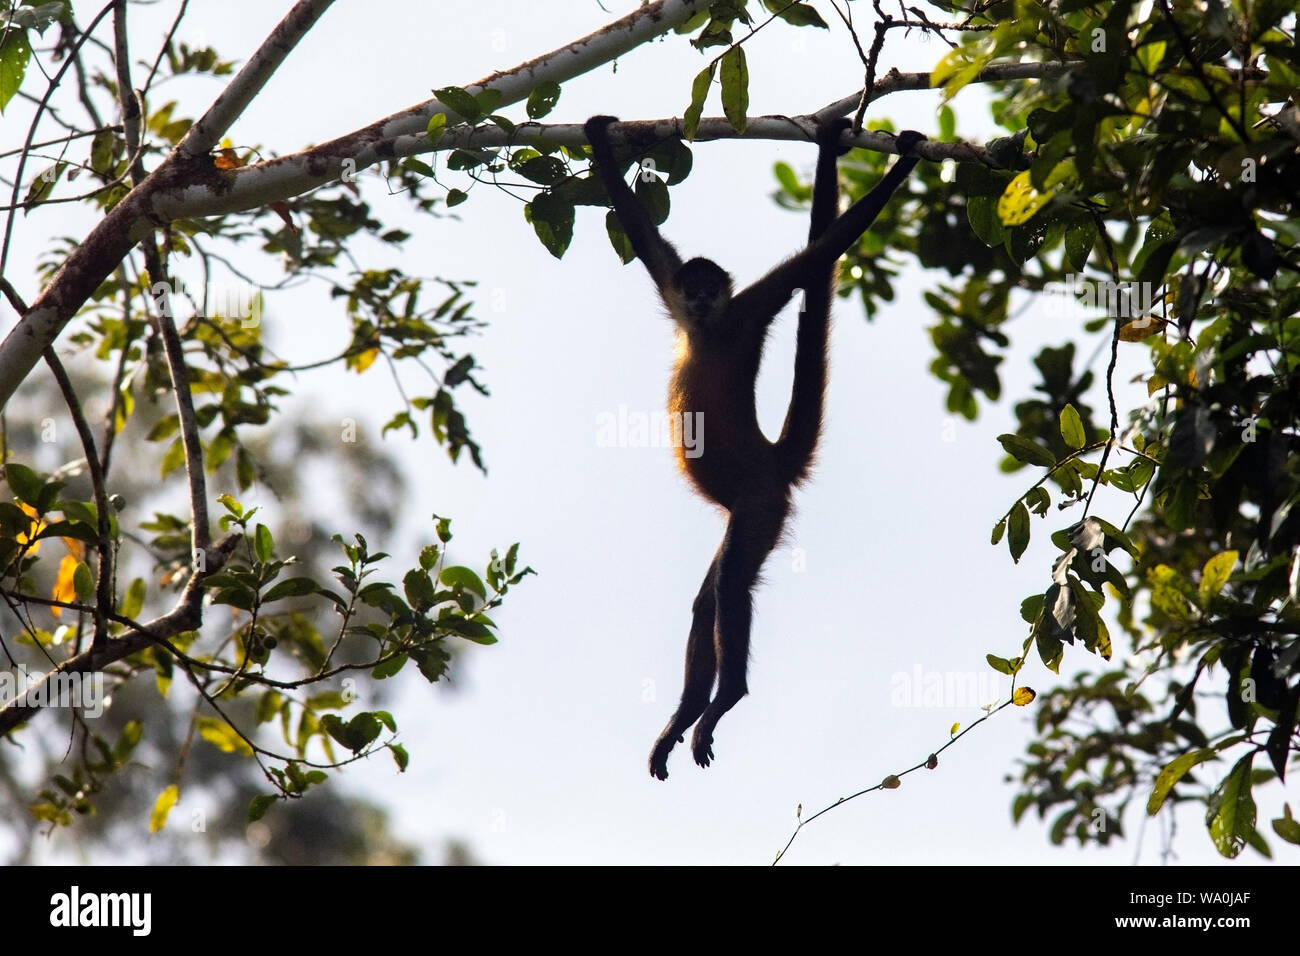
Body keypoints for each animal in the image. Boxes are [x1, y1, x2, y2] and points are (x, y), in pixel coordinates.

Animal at [585, 115, 920, 780]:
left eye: (713, 290)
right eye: (692, 287)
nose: (700, 299)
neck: (710, 330)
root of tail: (770, 459)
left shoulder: (748, 310)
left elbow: (819, 255)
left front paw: (904, 166)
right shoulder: (673, 291)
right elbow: (643, 235)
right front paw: (598, 136)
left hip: (761, 503)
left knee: (731, 585)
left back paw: (726, 698)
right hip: (749, 510)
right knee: (707, 599)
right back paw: (689, 710)